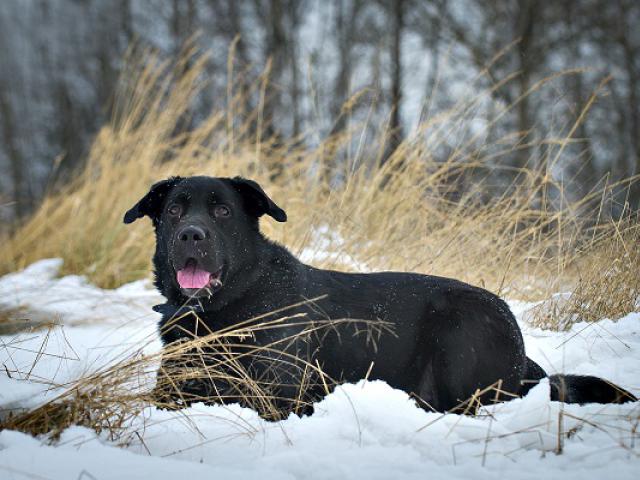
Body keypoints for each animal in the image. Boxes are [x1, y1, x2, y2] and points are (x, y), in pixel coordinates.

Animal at [124, 176, 636, 416]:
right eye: (174, 211)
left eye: (223, 212)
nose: (191, 235)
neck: (228, 308)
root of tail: (525, 356)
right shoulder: (169, 393)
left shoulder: (277, 399)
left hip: (459, 333)